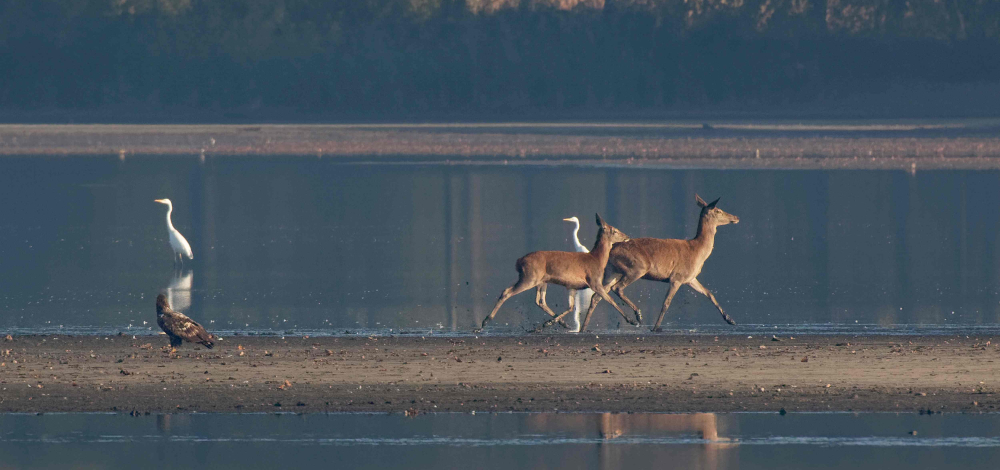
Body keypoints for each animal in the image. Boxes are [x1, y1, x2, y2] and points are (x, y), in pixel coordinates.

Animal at [478, 215, 632, 332]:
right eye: (614, 230)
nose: (627, 236)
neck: (597, 259)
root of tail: (519, 261)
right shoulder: (594, 282)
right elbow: (610, 300)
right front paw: (631, 320)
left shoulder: (572, 286)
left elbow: (570, 307)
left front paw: (551, 322)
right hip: (529, 278)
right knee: (507, 292)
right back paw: (485, 321)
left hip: (541, 281)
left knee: (540, 301)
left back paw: (560, 323)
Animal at [588, 194, 740, 330]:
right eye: (718, 210)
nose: (736, 217)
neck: (697, 251)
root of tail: (612, 249)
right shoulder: (676, 277)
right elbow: (666, 303)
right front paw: (655, 328)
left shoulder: (690, 278)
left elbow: (709, 293)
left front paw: (730, 320)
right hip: (637, 267)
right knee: (617, 288)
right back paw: (638, 316)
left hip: (612, 272)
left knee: (597, 296)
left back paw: (584, 328)